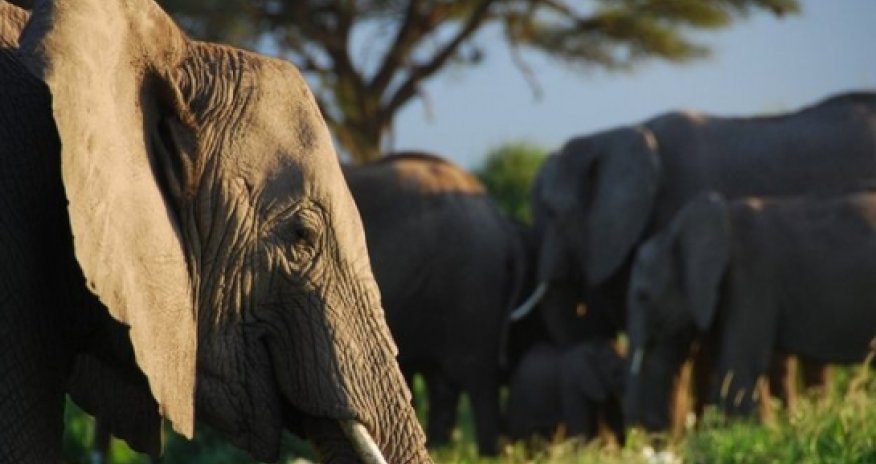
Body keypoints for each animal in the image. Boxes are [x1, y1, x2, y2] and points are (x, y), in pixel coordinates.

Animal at [343, 152, 527, 456]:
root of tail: (498, 218)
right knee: (444, 383)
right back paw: (443, 448)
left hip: (472, 285)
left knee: (478, 380)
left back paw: (490, 453)